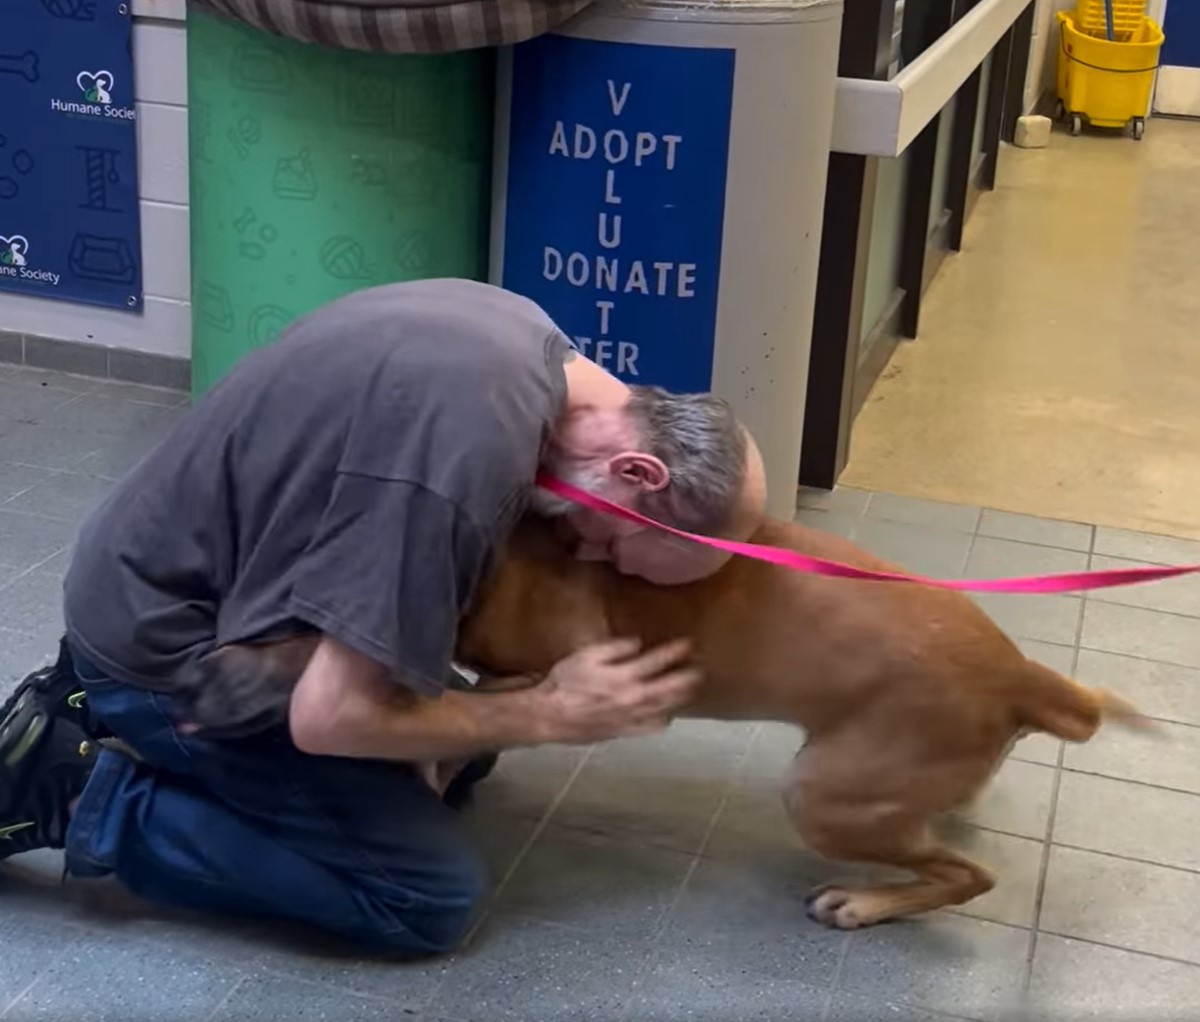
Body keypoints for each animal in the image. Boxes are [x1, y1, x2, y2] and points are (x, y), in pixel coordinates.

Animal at [184, 515, 1142, 930]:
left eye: (282, 630)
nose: (187, 686)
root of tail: (1020, 675)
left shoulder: (567, 673)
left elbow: (475, 707)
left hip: (823, 796)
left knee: (965, 875)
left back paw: (868, 902)